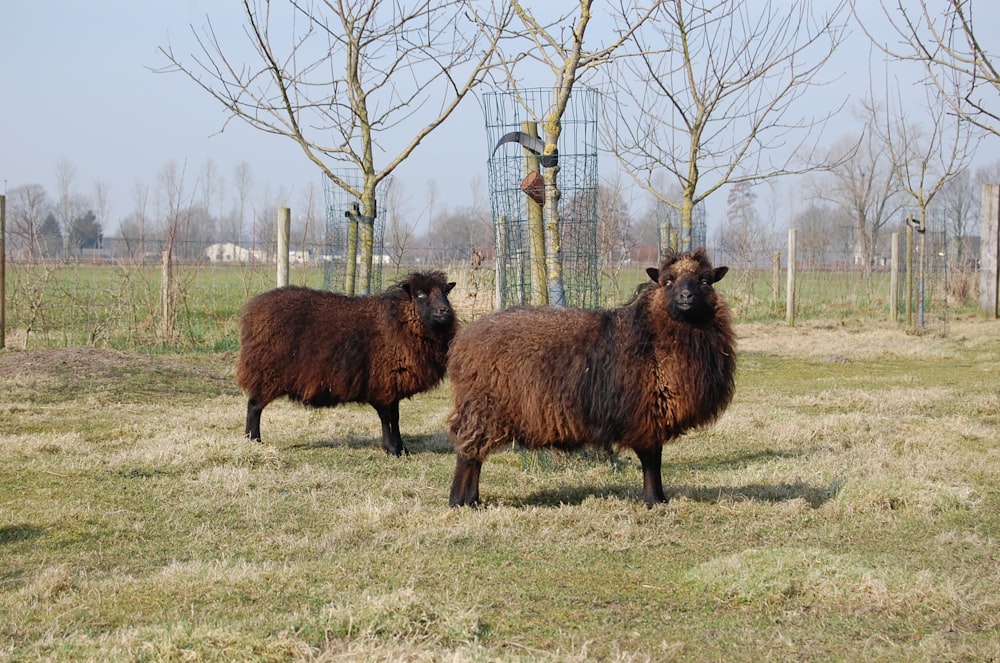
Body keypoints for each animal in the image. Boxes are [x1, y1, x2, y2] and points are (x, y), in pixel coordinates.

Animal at [234, 272, 458, 456]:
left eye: (445, 292)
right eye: (420, 294)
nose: (445, 311)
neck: (400, 321)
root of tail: (252, 311)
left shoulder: (392, 383)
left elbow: (395, 417)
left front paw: (402, 448)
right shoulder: (384, 382)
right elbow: (387, 418)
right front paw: (392, 450)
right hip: (266, 372)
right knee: (254, 407)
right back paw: (254, 441)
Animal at [446, 249, 736, 508]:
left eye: (705, 280)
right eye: (667, 280)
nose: (686, 296)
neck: (653, 334)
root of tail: (463, 342)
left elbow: (655, 459)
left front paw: (661, 499)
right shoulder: (645, 414)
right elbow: (651, 460)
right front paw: (654, 501)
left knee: (474, 455)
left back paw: (472, 500)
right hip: (484, 409)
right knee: (467, 455)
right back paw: (460, 501)